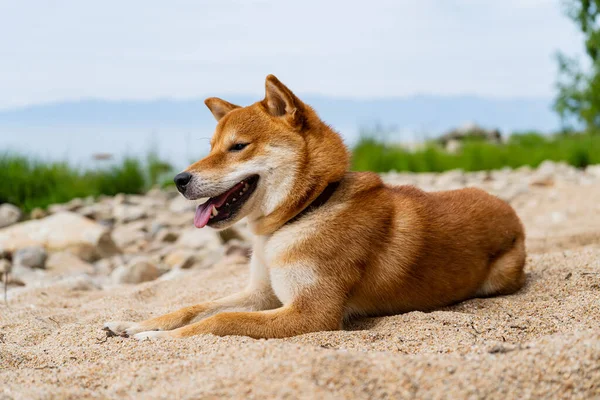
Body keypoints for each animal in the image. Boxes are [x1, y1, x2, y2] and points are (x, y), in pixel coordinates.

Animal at [103, 73, 524, 340]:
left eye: (238, 147)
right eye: (211, 148)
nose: (179, 180)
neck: (303, 212)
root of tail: (510, 210)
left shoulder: (311, 313)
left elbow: (221, 320)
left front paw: (155, 338)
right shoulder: (262, 294)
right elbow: (192, 306)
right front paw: (138, 325)